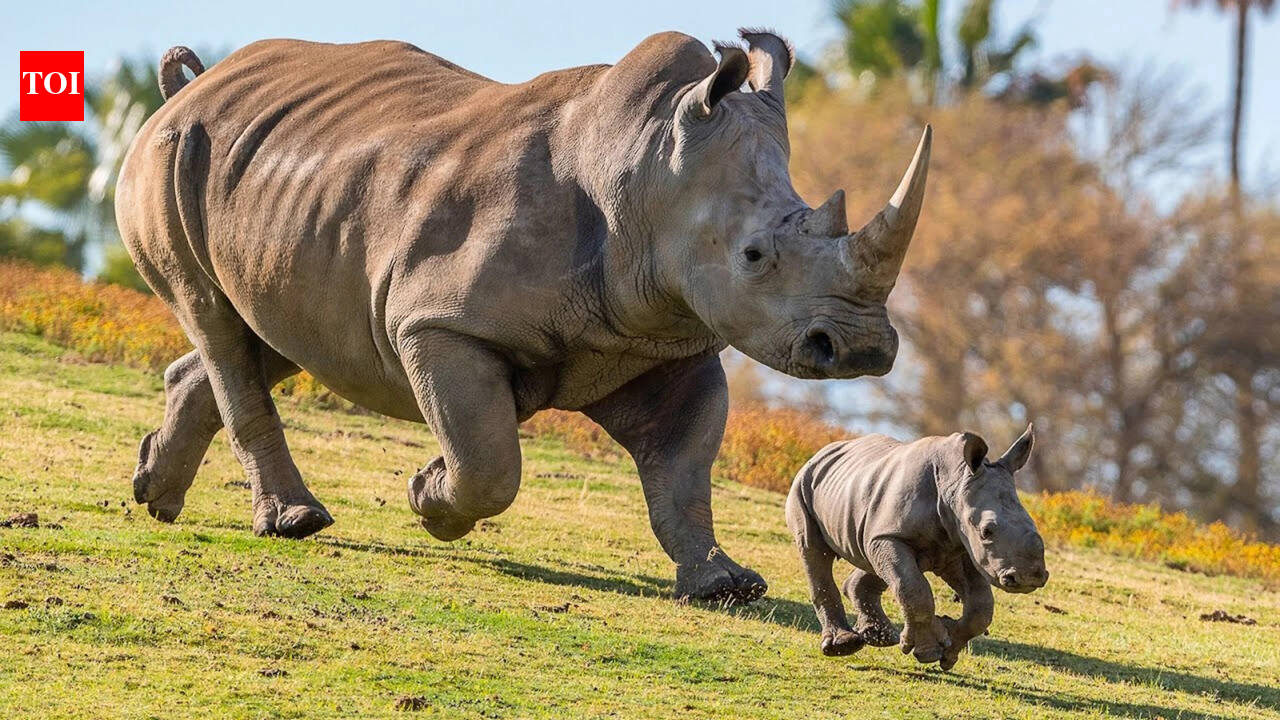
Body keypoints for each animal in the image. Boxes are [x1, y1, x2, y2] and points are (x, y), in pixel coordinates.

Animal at [116, 29, 931, 602]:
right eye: (755, 256)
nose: (861, 348)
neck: (645, 171)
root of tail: (188, 90)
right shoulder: (439, 322)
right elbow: (489, 463)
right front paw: (429, 497)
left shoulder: (664, 340)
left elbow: (684, 470)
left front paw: (725, 585)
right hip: (169, 155)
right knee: (215, 319)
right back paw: (295, 522)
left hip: (285, 184)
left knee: (278, 329)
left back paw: (156, 494)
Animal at [785, 426, 1046, 668]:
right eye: (986, 532)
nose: (1029, 578)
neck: (955, 481)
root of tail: (824, 451)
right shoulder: (893, 535)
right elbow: (913, 589)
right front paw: (929, 651)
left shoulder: (960, 545)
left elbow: (981, 606)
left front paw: (948, 650)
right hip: (804, 484)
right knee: (814, 550)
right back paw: (843, 645)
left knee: (875, 560)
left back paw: (881, 638)